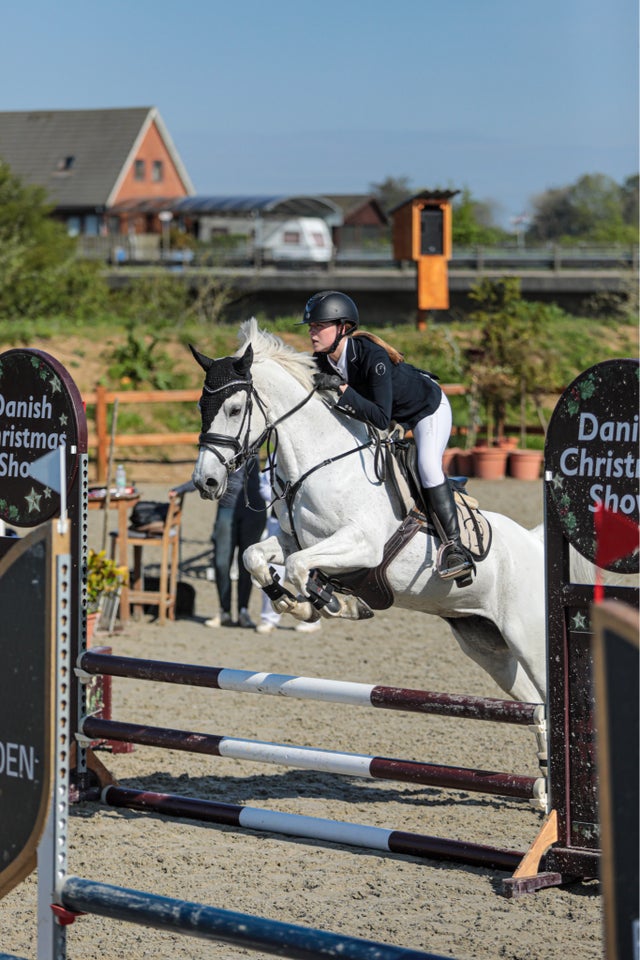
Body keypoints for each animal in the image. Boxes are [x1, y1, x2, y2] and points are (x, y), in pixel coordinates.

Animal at [190, 318, 544, 700]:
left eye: (234, 409)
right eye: (201, 408)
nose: (205, 481)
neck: (322, 460)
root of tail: (535, 543)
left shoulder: (363, 544)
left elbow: (298, 567)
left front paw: (333, 604)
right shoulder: (295, 539)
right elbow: (253, 556)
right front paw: (297, 603)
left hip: (528, 640)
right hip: (485, 642)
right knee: (536, 705)